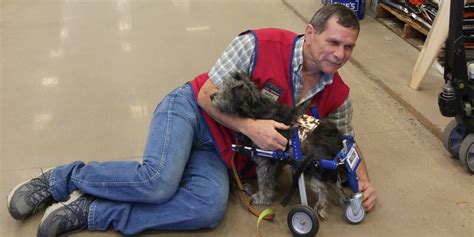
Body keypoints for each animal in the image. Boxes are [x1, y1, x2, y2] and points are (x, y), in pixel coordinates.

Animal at [209, 72, 350, 220]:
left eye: (227, 91)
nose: (212, 96)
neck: (257, 111)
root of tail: (337, 141)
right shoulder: (276, 160)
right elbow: (272, 177)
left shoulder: (265, 160)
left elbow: (263, 181)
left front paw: (262, 197)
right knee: (337, 184)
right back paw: (343, 200)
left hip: (310, 166)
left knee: (323, 188)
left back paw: (320, 207)